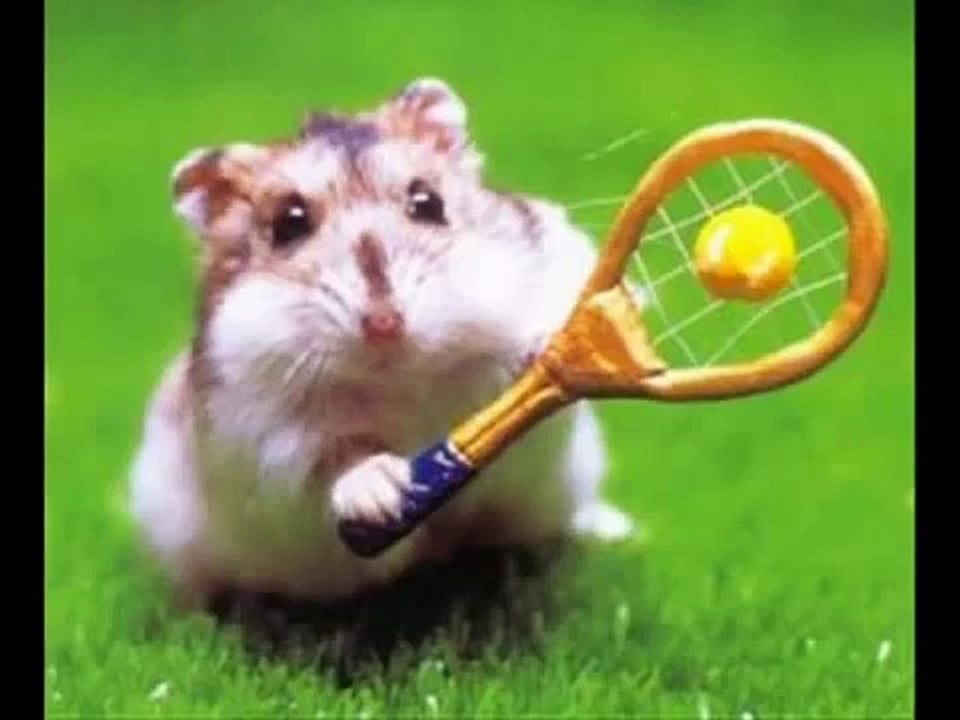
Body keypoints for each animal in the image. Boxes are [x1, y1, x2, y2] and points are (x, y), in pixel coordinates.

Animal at [129, 78, 635, 609]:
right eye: (289, 223)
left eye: (428, 202)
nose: (385, 324)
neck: (405, 378)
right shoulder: (267, 453)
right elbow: (337, 462)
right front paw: (384, 492)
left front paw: (553, 345)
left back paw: (618, 531)